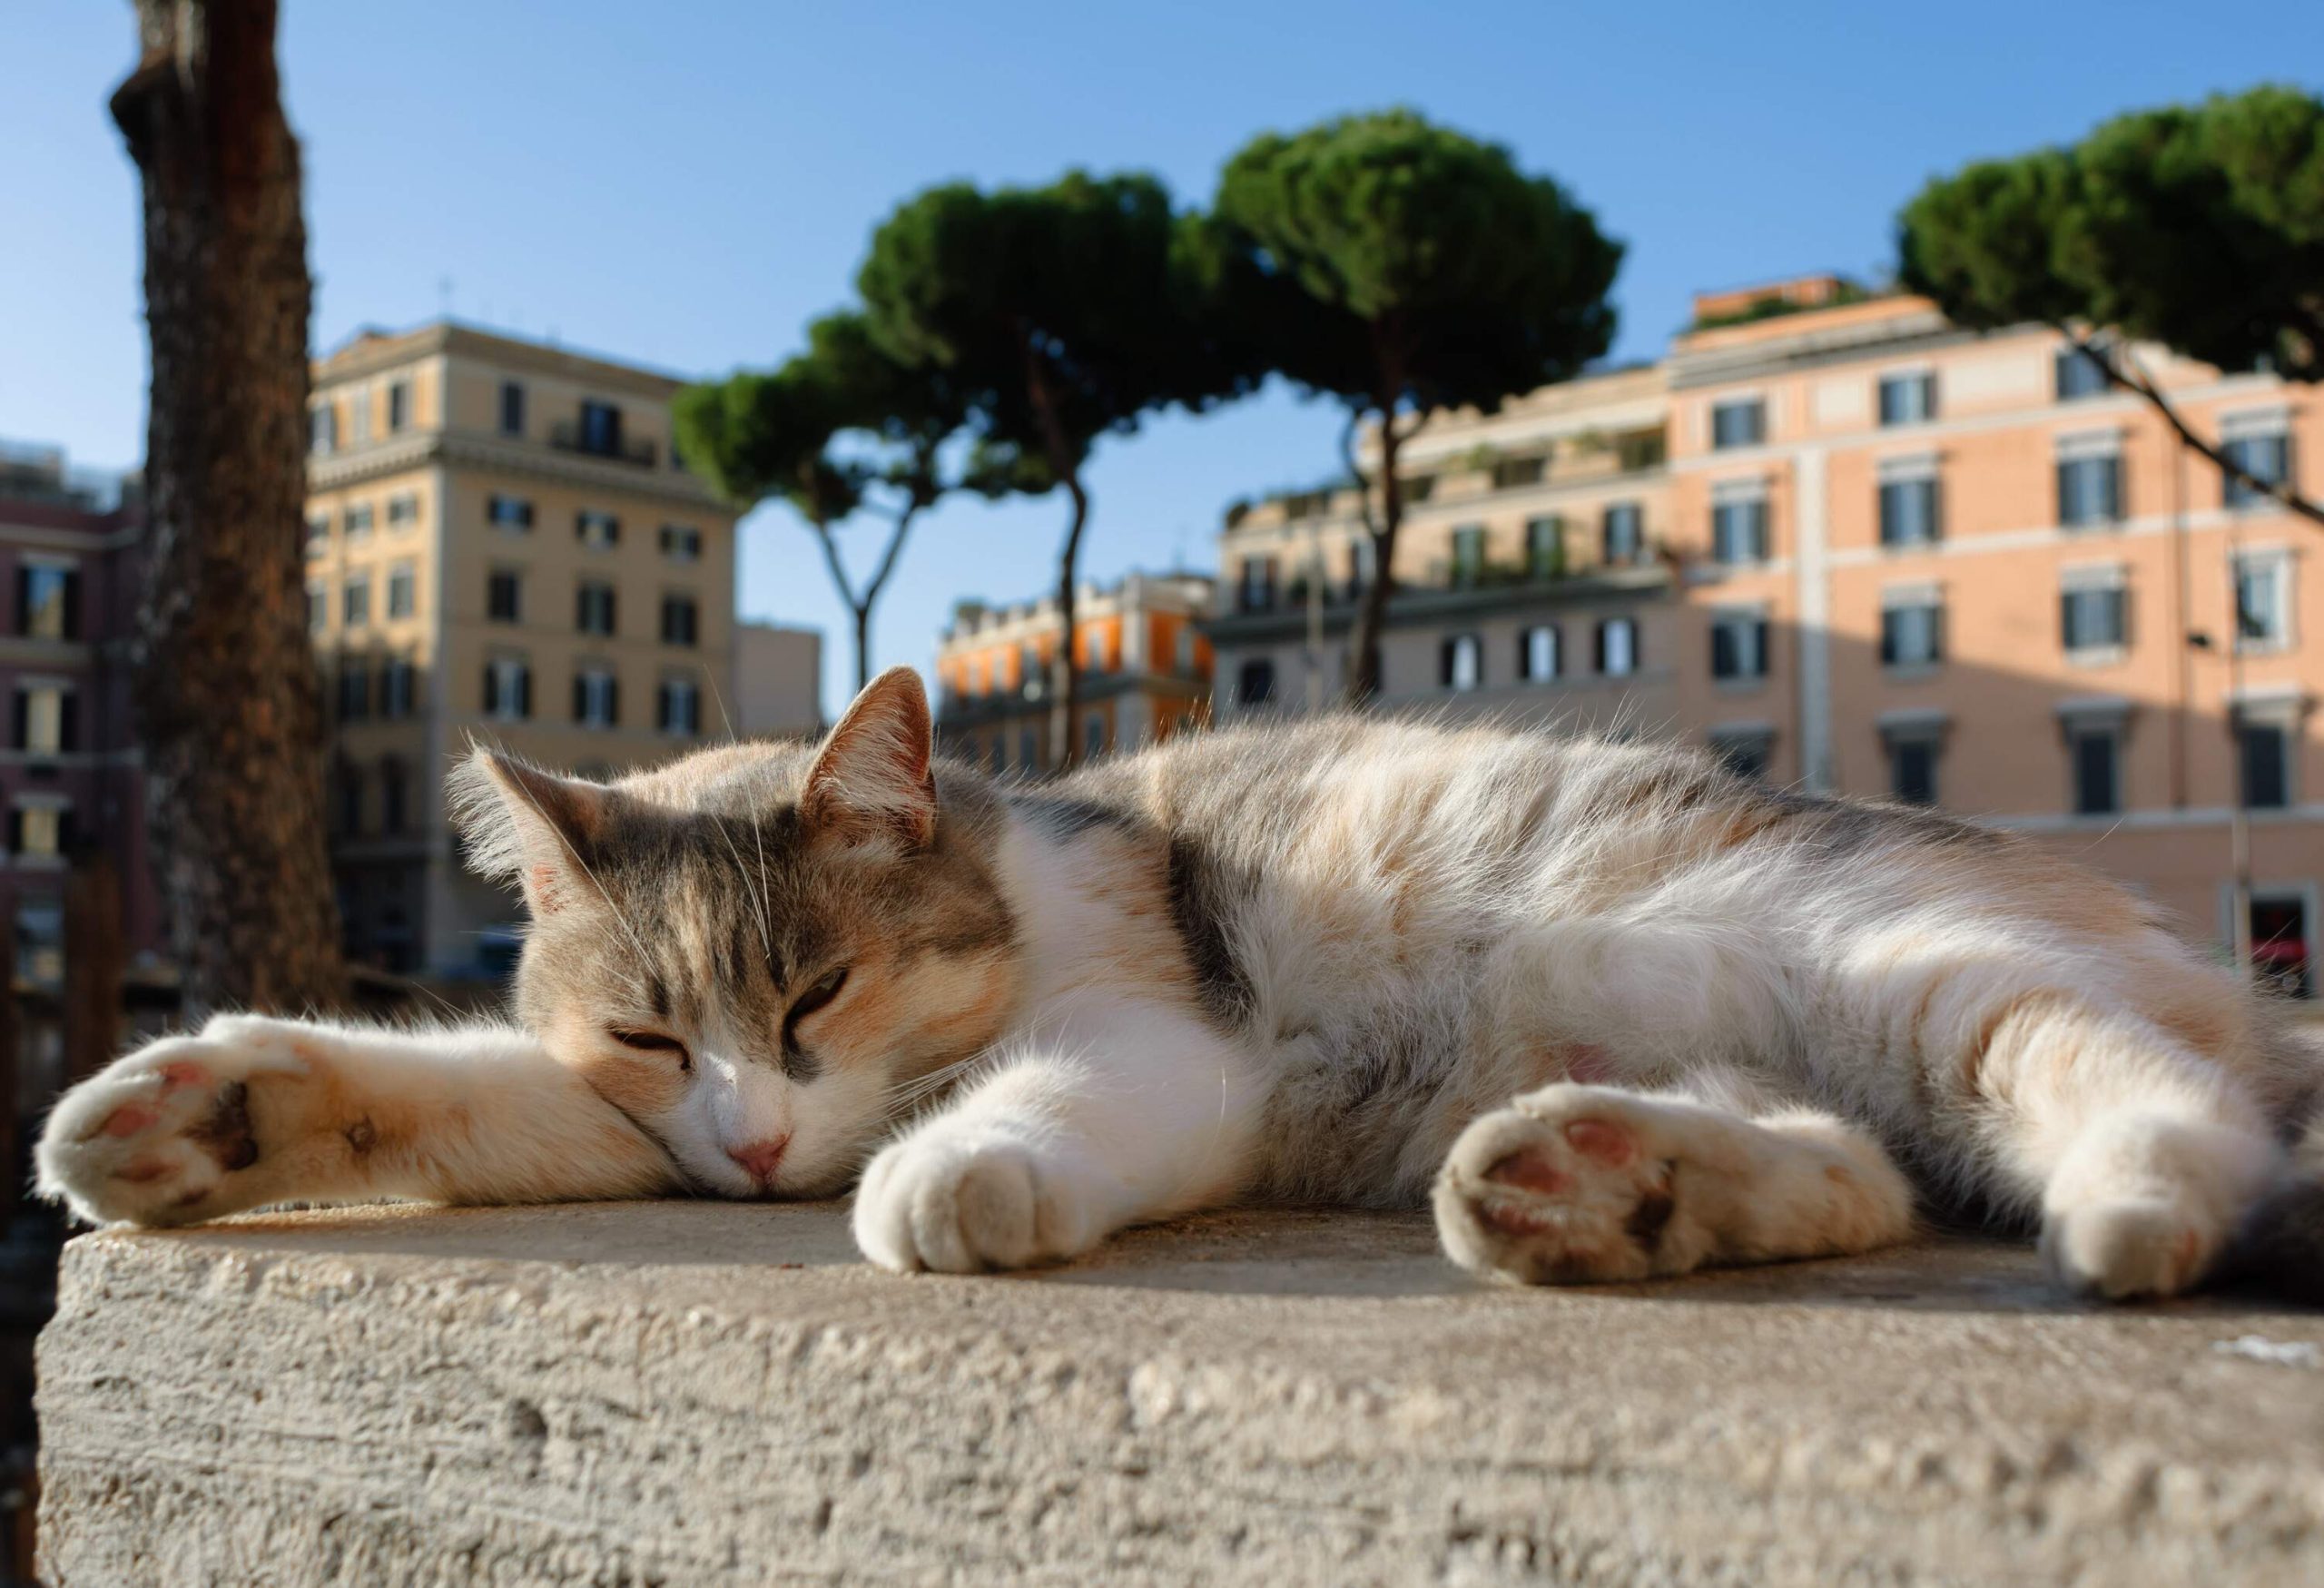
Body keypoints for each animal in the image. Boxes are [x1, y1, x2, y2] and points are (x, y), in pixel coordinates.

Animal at [36, 665, 2324, 1302]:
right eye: (652, 1026)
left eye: (820, 993)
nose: (759, 1148)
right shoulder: (624, 1116)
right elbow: (451, 1085)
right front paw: (193, 1112)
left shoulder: (1164, 1039)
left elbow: (1040, 1099)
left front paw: (953, 1175)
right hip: (1801, 1058)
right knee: (1847, 1170)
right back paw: (1599, 1182)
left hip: (1921, 977)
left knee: (2155, 1103)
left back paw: (2128, 1204)